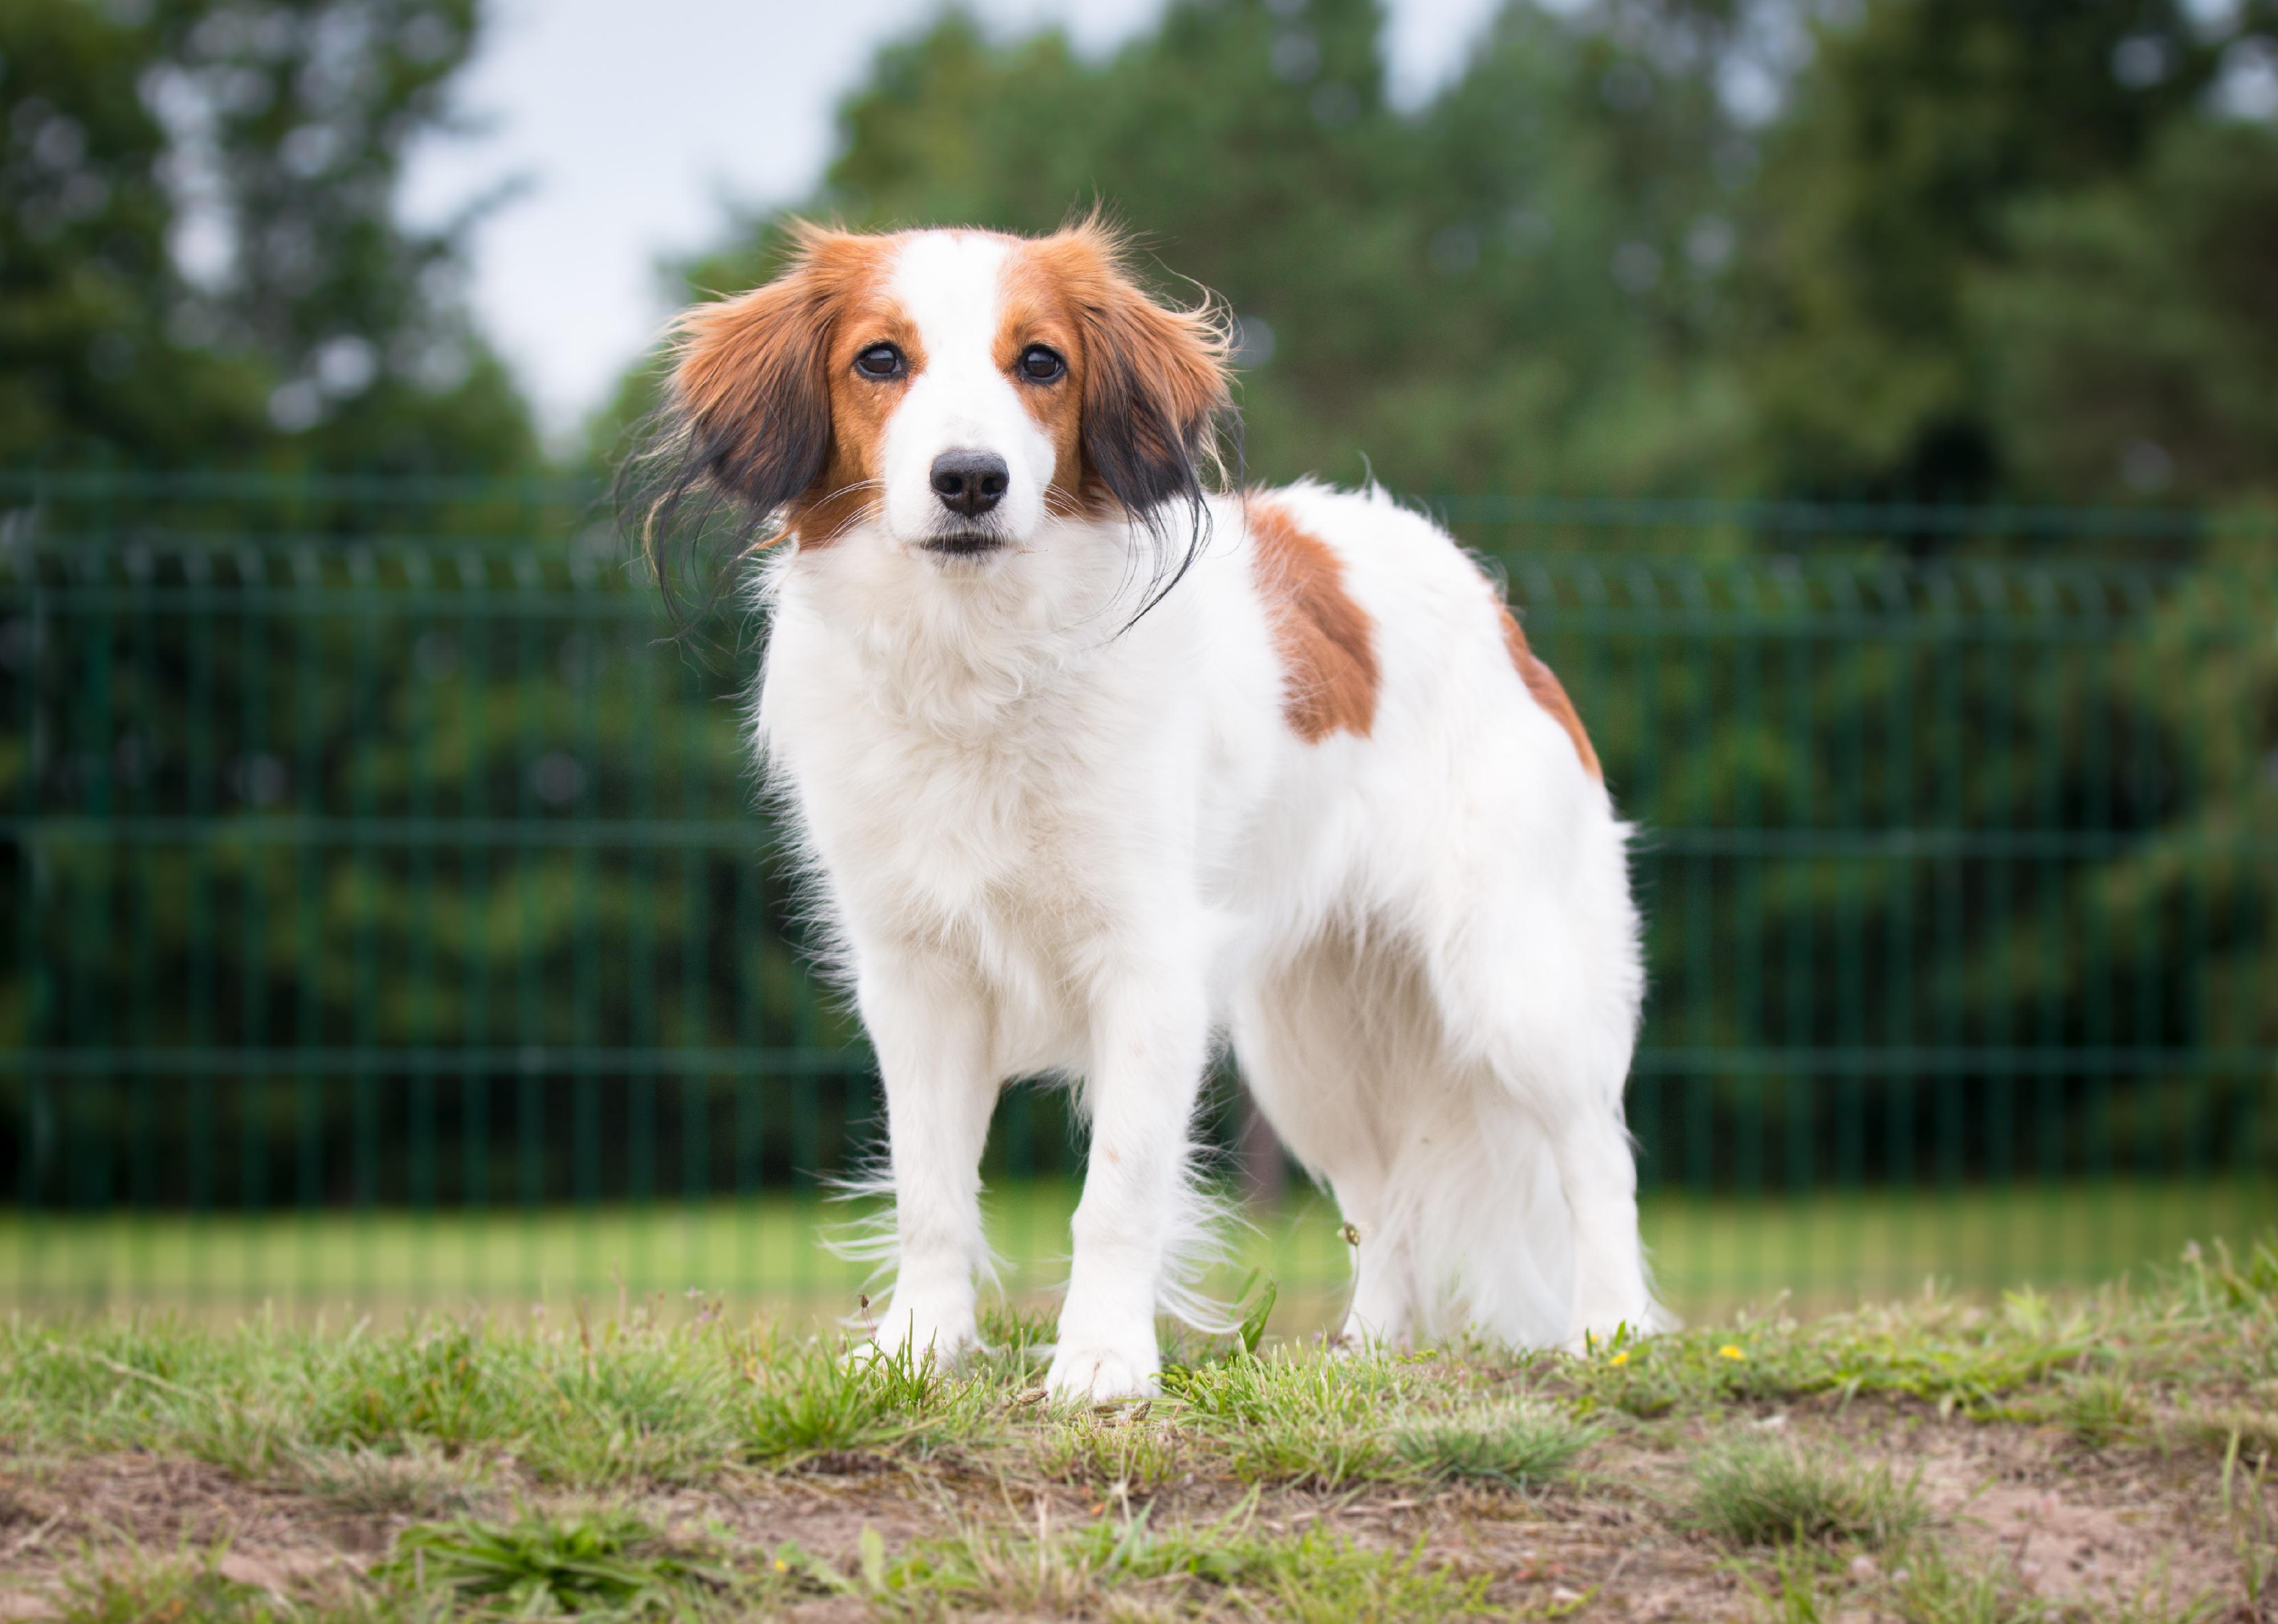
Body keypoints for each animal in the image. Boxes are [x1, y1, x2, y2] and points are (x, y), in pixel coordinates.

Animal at [642, 222, 1658, 1403]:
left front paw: (1102, 1361)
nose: (970, 479)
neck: (980, 660)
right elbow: (930, 1191)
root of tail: (1492, 605)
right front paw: (919, 1350)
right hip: (1309, 1044)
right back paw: (1368, 1351)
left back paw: (1612, 1329)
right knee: (1383, 1198)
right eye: (879, 361)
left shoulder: (1149, 968)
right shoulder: (919, 978)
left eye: (1040, 362)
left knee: (1595, 1155)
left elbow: (1116, 1196)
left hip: (1510, 983)